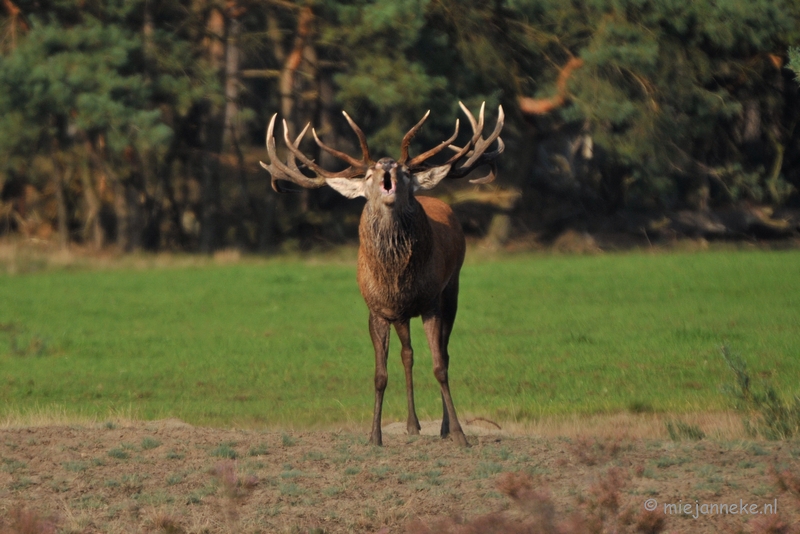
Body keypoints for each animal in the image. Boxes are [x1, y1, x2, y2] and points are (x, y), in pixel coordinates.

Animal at [260, 102, 504, 446]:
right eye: (370, 174)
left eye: (405, 172)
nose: (388, 164)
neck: (397, 280)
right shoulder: (376, 309)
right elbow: (380, 374)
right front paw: (374, 435)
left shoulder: (431, 301)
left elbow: (440, 366)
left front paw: (459, 434)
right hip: (401, 315)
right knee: (408, 354)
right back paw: (412, 424)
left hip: (451, 288)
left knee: (442, 352)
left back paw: (442, 427)